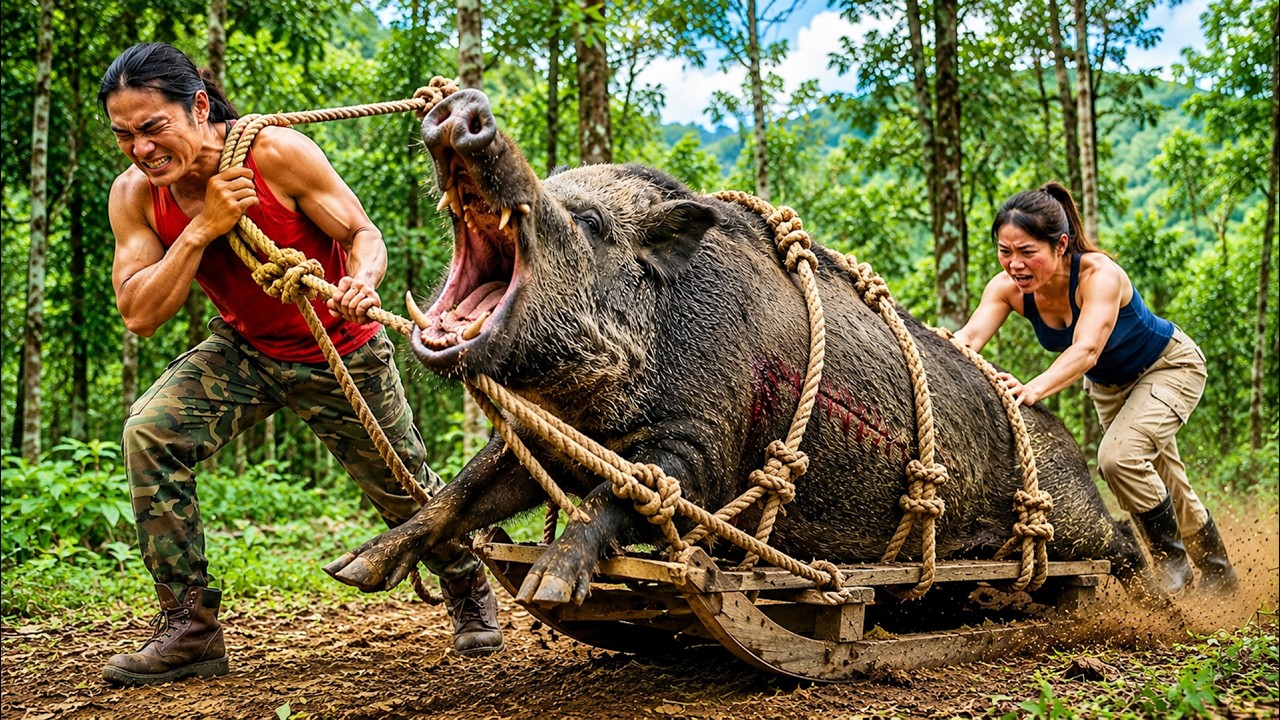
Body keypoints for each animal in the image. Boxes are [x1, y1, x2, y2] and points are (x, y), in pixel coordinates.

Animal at [323, 89, 1149, 607]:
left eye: (588, 222)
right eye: (557, 189)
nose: (463, 107)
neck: (587, 412)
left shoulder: (707, 442)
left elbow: (627, 491)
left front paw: (547, 587)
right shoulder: (541, 438)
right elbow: (462, 491)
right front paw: (349, 568)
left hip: (1068, 510)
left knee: (1111, 540)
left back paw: (1160, 586)